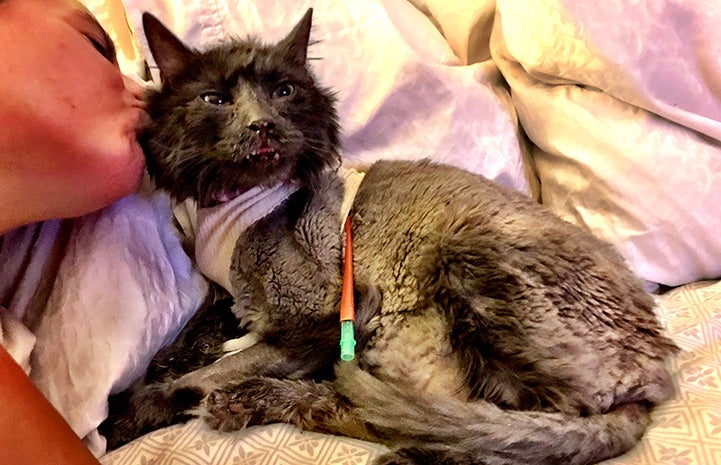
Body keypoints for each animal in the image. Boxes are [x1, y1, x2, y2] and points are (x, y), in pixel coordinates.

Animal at [102, 10, 680, 464]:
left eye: (283, 92)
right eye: (216, 99)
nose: (261, 125)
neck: (228, 208)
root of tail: (655, 376)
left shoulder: (337, 310)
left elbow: (205, 374)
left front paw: (127, 415)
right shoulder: (234, 300)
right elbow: (196, 335)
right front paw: (175, 359)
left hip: (469, 249)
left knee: (510, 425)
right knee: (386, 412)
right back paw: (266, 401)